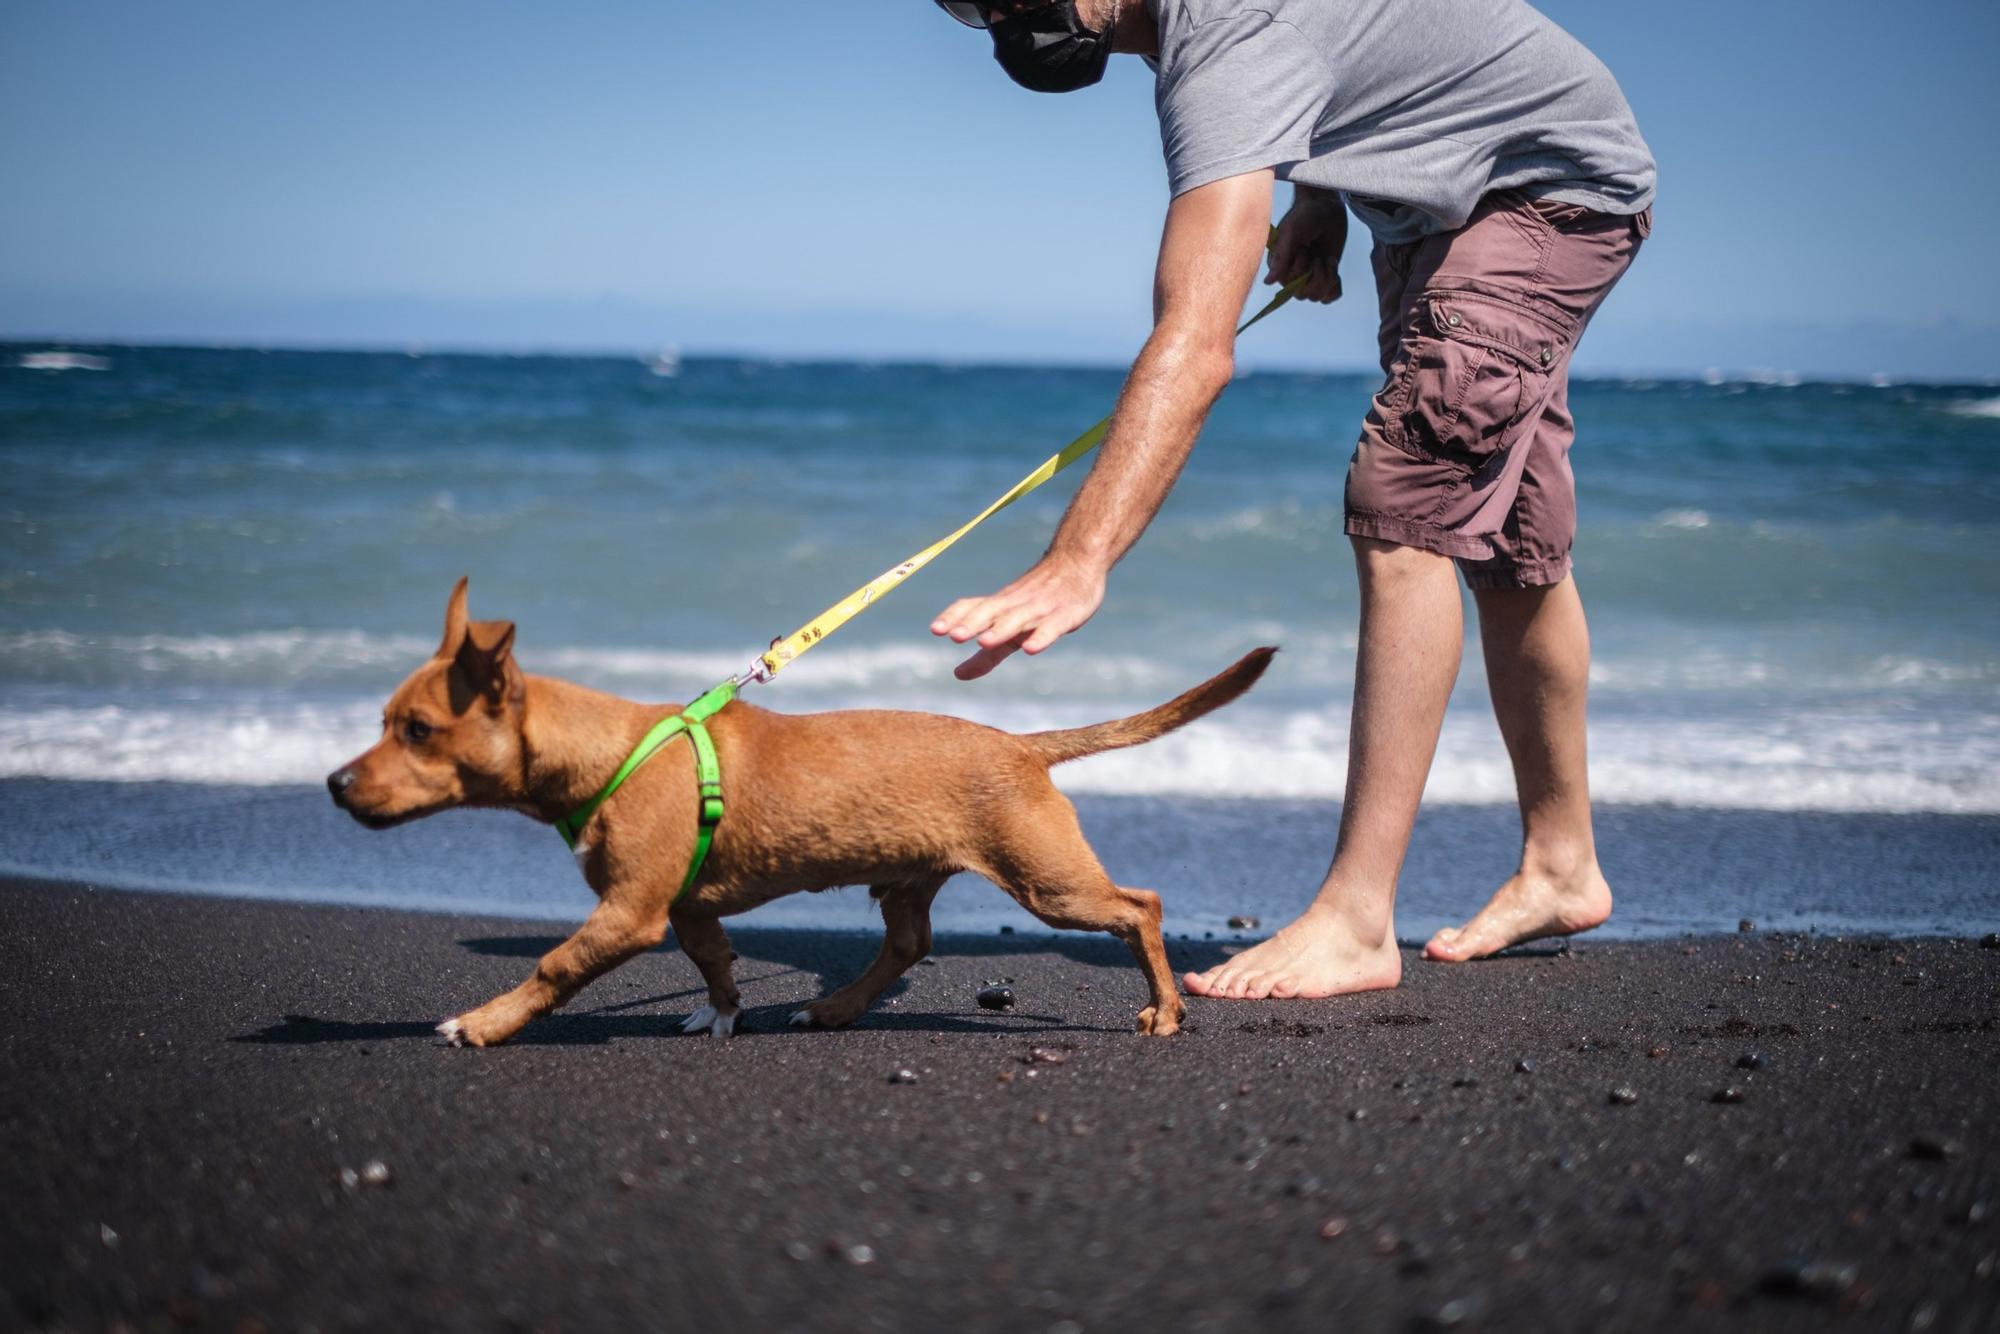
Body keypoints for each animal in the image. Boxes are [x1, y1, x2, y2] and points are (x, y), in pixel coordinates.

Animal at [326, 580, 1264, 1048]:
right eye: (384, 721)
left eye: (418, 730)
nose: (335, 783)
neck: (614, 748)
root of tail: (1021, 745)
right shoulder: (683, 906)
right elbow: (713, 960)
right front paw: (722, 1012)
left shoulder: (629, 914)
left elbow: (554, 967)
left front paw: (484, 1024)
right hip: (910, 879)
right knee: (907, 945)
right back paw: (837, 1008)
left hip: (1049, 882)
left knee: (1138, 907)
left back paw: (1166, 1011)